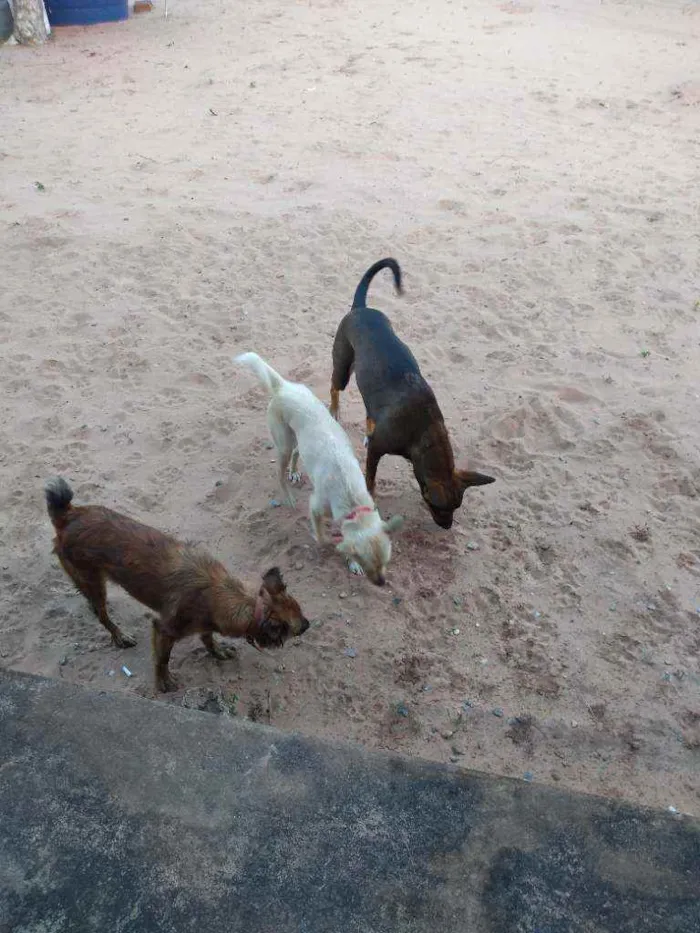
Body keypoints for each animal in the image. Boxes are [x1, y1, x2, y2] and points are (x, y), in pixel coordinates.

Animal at [47, 480, 310, 692]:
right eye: (299, 627)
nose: (309, 624)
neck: (223, 594)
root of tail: (69, 515)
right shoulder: (164, 629)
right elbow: (162, 659)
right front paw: (163, 681)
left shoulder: (205, 624)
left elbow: (208, 638)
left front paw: (217, 652)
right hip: (93, 580)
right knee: (101, 614)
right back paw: (120, 636)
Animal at [235, 352, 402, 584]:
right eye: (369, 564)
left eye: (385, 562)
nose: (382, 583)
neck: (353, 505)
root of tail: (283, 386)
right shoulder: (315, 506)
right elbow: (323, 538)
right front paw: (332, 545)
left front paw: (351, 562)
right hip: (284, 444)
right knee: (279, 474)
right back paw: (288, 497)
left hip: (299, 440)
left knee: (297, 455)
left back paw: (295, 472)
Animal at [330, 258, 494, 528]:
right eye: (436, 506)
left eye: (456, 507)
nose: (447, 527)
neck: (424, 429)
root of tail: (361, 308)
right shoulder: (377, 450)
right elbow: (370, 479)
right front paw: (371, 498)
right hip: (343, 367)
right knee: (334, 387)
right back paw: (333, 411)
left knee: (369, 410)